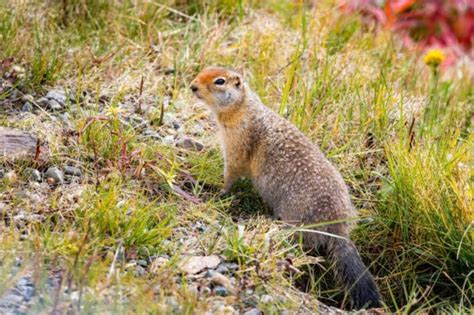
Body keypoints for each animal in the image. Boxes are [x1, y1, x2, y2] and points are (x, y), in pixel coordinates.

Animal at [189, 66, 382, 312]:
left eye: (219, 81)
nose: (193, 86)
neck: (243, 107)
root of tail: (337, 228)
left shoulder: (237, 142)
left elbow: (231, 171)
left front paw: (218, 191)